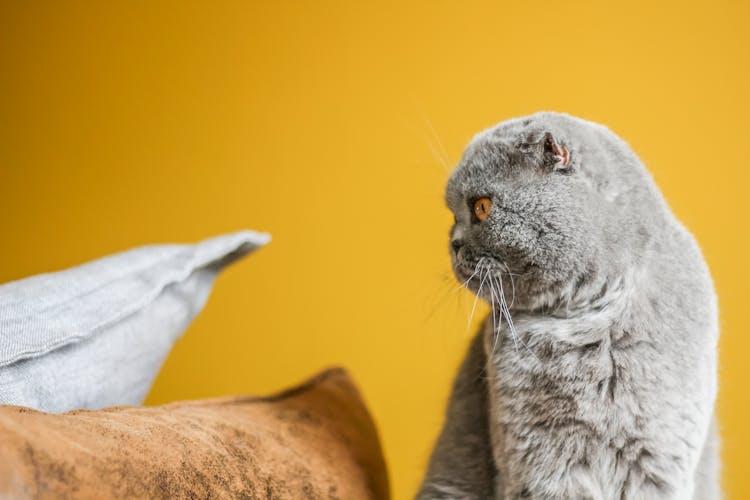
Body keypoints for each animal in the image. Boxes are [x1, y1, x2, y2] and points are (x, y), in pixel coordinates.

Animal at [420, 113, 720, 500]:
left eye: (481, 207)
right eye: (453, 216)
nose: (453, 243)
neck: (587, 322)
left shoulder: (658, 457)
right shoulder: (542, 460)